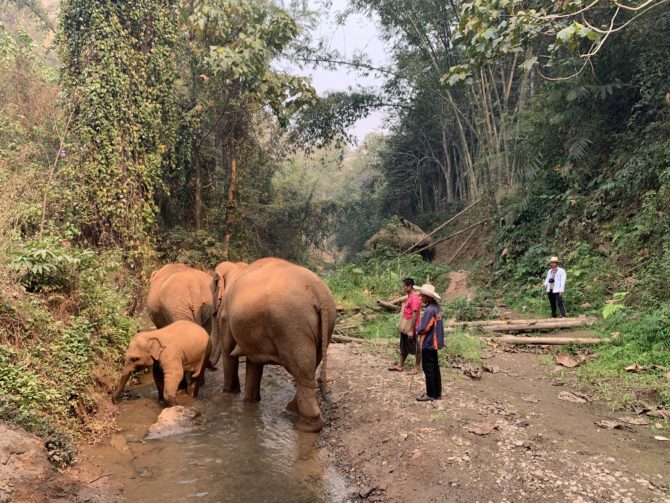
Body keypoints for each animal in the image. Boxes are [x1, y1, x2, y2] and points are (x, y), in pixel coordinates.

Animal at [214, 260, 336, 434]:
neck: (237, 268)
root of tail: (318, 292)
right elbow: (254, 363)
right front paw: (250, 402)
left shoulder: (225, 315)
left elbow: (227, 351)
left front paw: (228, 395)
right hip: (326, 324)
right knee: (311, 367)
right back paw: (291, 411)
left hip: (293, 326)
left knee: (301, 369)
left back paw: (304, 425)